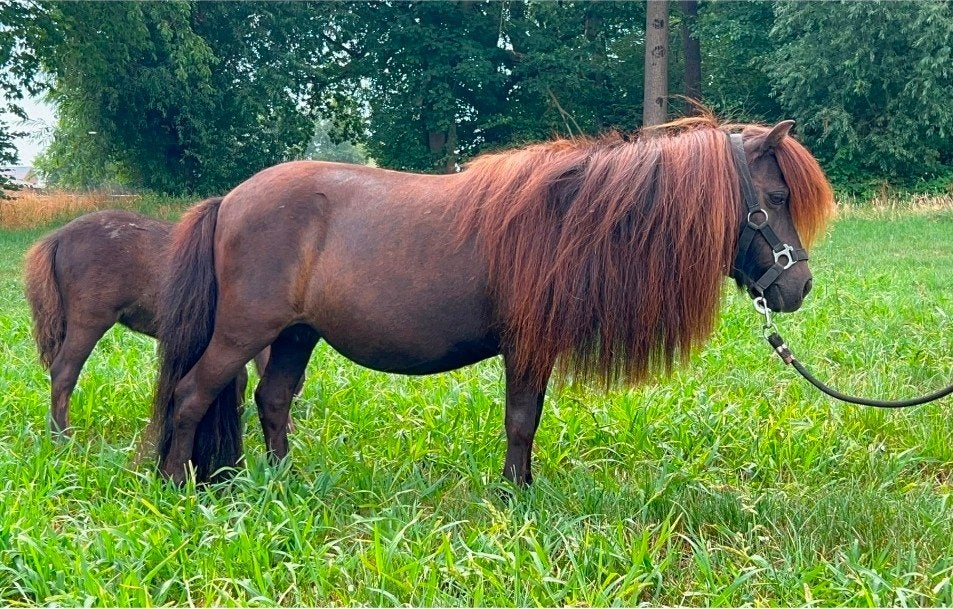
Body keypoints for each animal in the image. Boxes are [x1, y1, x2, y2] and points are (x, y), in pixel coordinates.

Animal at [150, 117, 834, 485]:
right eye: (775, 196)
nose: (797, 287)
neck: (573, 218)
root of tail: (230, 200)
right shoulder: (525, 346)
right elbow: (521, 419)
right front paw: (515, 493)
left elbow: (527, 419)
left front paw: (520, 485)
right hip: (244, 331)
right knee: (190, 395)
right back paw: (178, 482)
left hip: (295, 333)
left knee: (273, 400)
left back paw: (285, 480)